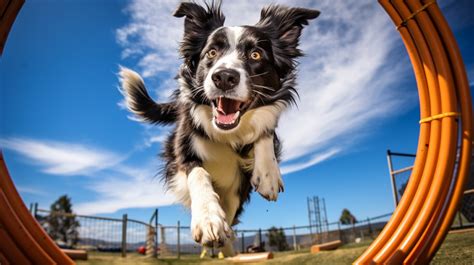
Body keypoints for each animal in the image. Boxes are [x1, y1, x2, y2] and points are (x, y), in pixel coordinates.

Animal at [119, 0, 318, 256]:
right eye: (211, 53)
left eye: (255, 54)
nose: (224, 77)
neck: (228, 132)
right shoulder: (181, 152)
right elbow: (199, 174)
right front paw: (208, 219)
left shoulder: (243, 180)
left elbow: (265, 131)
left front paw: (268, 174)